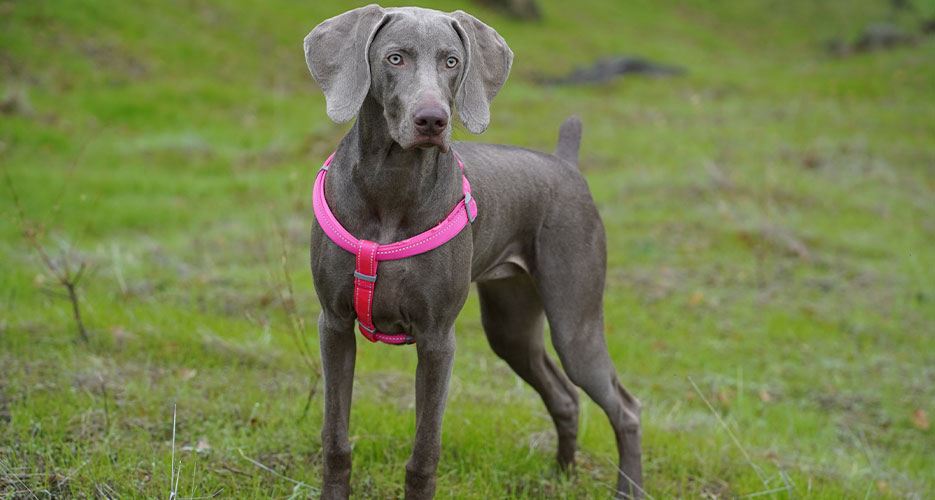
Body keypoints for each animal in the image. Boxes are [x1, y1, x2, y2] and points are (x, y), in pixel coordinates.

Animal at [306, 4, 644, 500]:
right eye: (394, 58)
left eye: (452, 61)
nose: (432, 120)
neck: (391, 185)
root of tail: (565, 163)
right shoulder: (334, 324)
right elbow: (335, 439)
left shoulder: (437, 340)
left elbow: (424, 455)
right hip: (510, 326)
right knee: (565, 396)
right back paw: (562, 475)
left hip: (574, 323)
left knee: (625, 408)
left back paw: (628, 488)